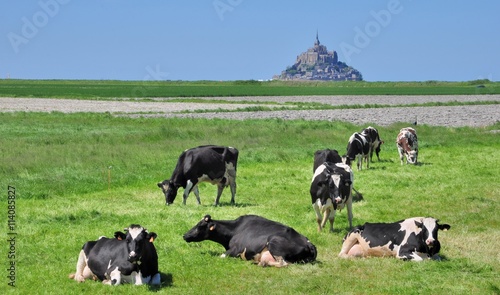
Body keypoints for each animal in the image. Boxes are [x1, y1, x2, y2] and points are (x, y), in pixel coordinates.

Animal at [184, 215, 316, 268]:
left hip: (274, 242)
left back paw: (261, 263)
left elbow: (221, 256)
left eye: (200, 226)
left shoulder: (236, 249)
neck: (234, 229)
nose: (184, 235)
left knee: (283, 263)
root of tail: (308, 243)